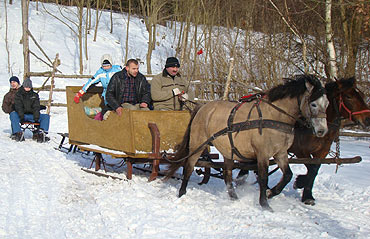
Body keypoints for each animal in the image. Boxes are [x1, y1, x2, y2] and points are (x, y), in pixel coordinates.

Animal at [168, 74, 330, 211]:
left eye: (327, 103)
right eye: (314, 104)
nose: (322, 131)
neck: (275, 116)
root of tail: (203, 107)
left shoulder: (280, 153)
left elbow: (288, 175)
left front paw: (271, 193)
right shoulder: (262, 154)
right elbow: (263, 177)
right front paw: (265, 204)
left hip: (228, 149)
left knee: (227, 173)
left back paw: (234, 197)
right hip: (197, 144)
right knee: (189, 166)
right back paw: (182, 192)